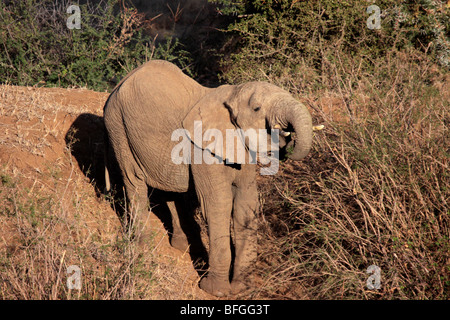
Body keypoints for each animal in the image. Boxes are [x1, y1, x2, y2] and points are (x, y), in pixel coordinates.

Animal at [103, 59, 312, 296]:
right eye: (257, 108)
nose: (288, 144)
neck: (231, 94)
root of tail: (118, 85)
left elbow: (246, 203)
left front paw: (242, 289)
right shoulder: (202, 148)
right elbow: (218, 204)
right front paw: (215, 291)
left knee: (169, 187)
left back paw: (182, 246)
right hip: (118, 126)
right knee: (134, 181)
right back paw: (142, 246)